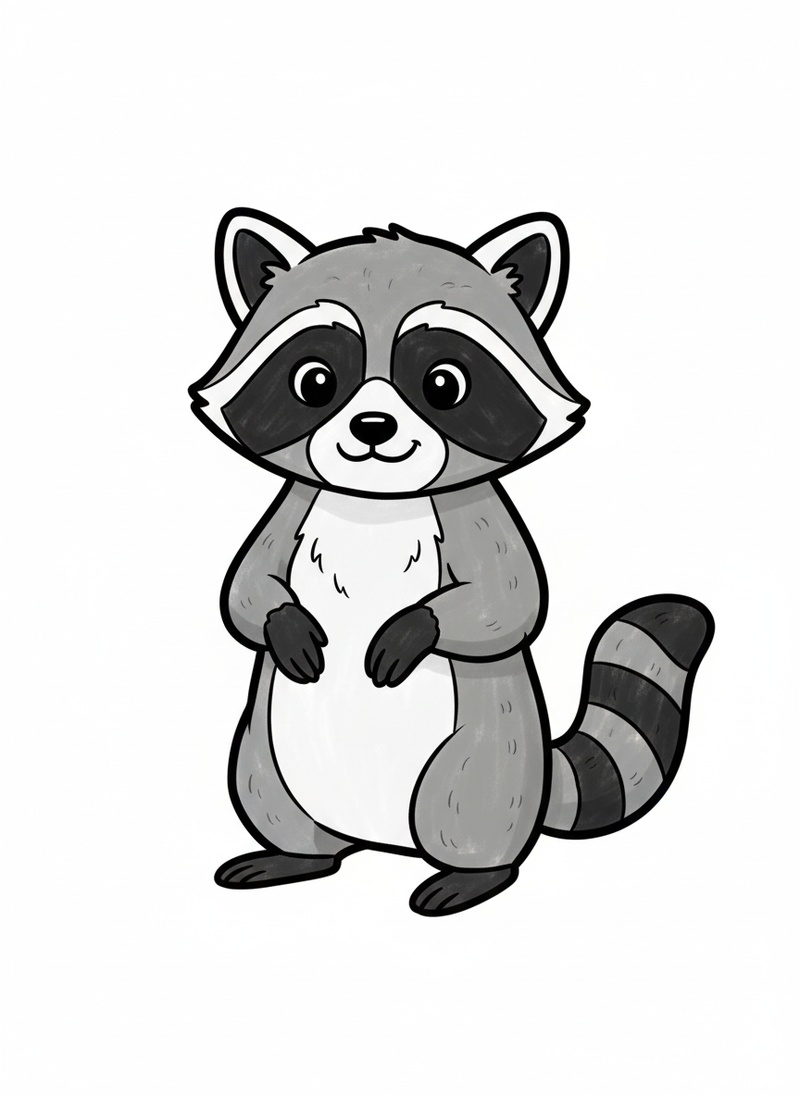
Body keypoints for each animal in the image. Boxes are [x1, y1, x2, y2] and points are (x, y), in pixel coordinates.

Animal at [189, 209, 714, 916]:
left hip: (484, 761)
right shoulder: (294, 504)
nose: (373, 427)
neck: (376, 504)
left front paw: (416, 626)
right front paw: (282, 622)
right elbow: (246, 587)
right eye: (315, 381)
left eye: (444, 384)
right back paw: (296, 854)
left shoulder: (477, 515)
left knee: (466, 808)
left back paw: (473, 873)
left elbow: (509, 602)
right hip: (263, 753)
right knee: (270, 795)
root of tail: (380, 843)